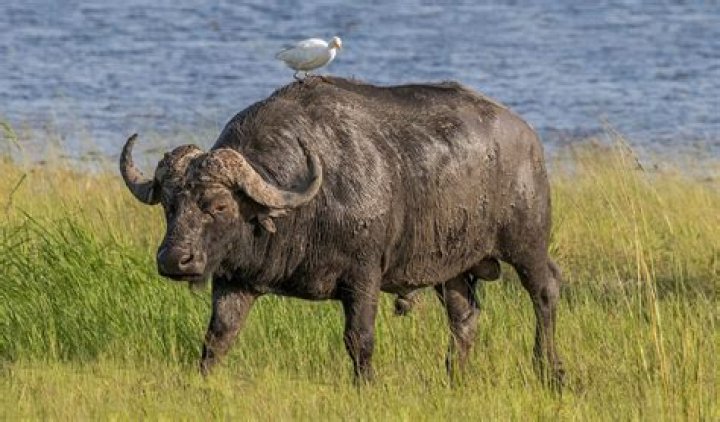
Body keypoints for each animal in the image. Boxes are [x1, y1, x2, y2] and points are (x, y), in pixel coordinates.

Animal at [120, 76, 564, 385]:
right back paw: (454, 375)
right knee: (465, 318)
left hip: (527, 244)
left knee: (545, 292)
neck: (306, 209)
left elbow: (359, 338)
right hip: (451, 268)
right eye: (169, 205)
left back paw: (550, 369)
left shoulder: (364, 276)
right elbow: (218, 337)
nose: (175, 260)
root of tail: (526, 135)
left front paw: (365, 384)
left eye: (218, 206)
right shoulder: (234, 280)